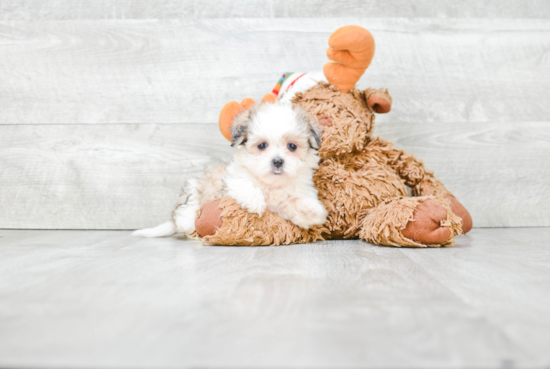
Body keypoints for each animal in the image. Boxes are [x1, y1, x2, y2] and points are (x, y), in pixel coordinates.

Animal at [133, 102, 328, 237]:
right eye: (262, 145)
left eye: (292, 146)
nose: (278, 161)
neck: (270, 184)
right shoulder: (231, 182)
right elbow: (244, 185)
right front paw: (255, 201)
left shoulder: (283, 204)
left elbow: (295, 204)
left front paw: (313, 211)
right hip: (194, 189)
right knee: (187, 208)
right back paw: (188, 220)